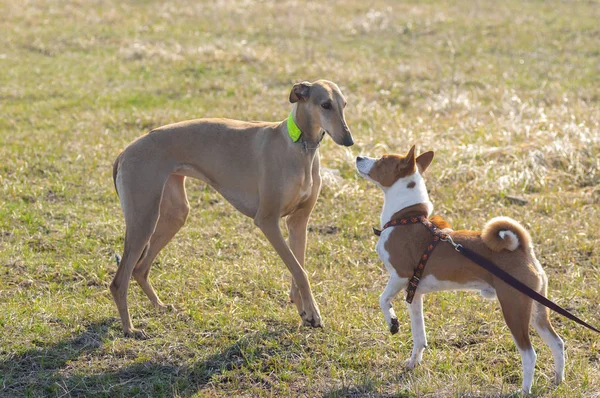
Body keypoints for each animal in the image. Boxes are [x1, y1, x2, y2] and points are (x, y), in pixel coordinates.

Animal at [112, 79, 354, 338]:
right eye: (325, 104)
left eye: (344, 104)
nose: (349, 140)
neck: (299, 145)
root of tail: (124, 152)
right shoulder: (267, 221)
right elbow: (300, 271)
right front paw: (314, 313)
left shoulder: (298, 222)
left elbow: (297, 269)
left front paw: (306, 311)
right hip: (143, 219)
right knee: (119, 281)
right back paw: (129, 329)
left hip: (173, 215)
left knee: (140, 269)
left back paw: (159, 306)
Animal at [358, 147, 564, 394]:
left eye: (381, 160)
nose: (358, 157)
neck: (405, 218)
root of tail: (522, 247)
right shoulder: (413, 292)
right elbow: (419, 336)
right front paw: (413, 363)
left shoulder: (400, 275)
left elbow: (382, 300)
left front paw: (392, 323)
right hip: (536, 310)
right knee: (557, 343)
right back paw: (557, 380)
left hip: (514, 309)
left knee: (529, 354)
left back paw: (523, 391)